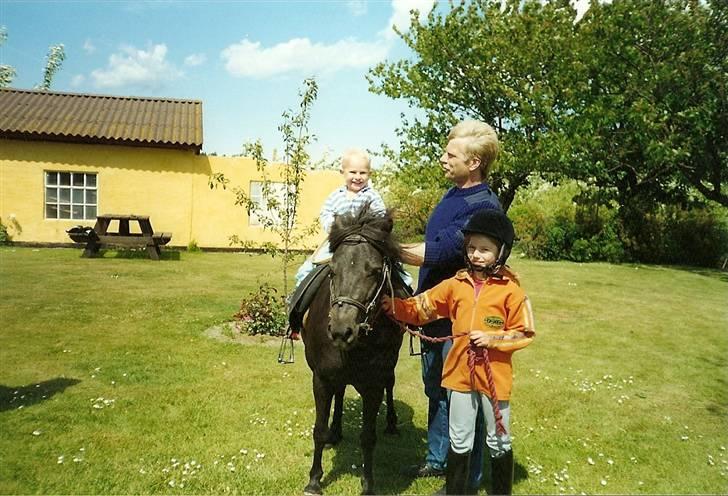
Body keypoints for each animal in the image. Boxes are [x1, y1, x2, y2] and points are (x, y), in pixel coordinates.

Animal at [302, 204, 410, 492]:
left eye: (375, 271)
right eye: (332, 271)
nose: (342, 330)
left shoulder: (373, 385)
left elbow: (368, 437)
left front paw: (368, 484)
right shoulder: (322, 378)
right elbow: (318, 429)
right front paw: (314, 480)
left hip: (389, 369)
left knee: (391, 384)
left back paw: (392, 423)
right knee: (340, 393)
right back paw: (336, 431)